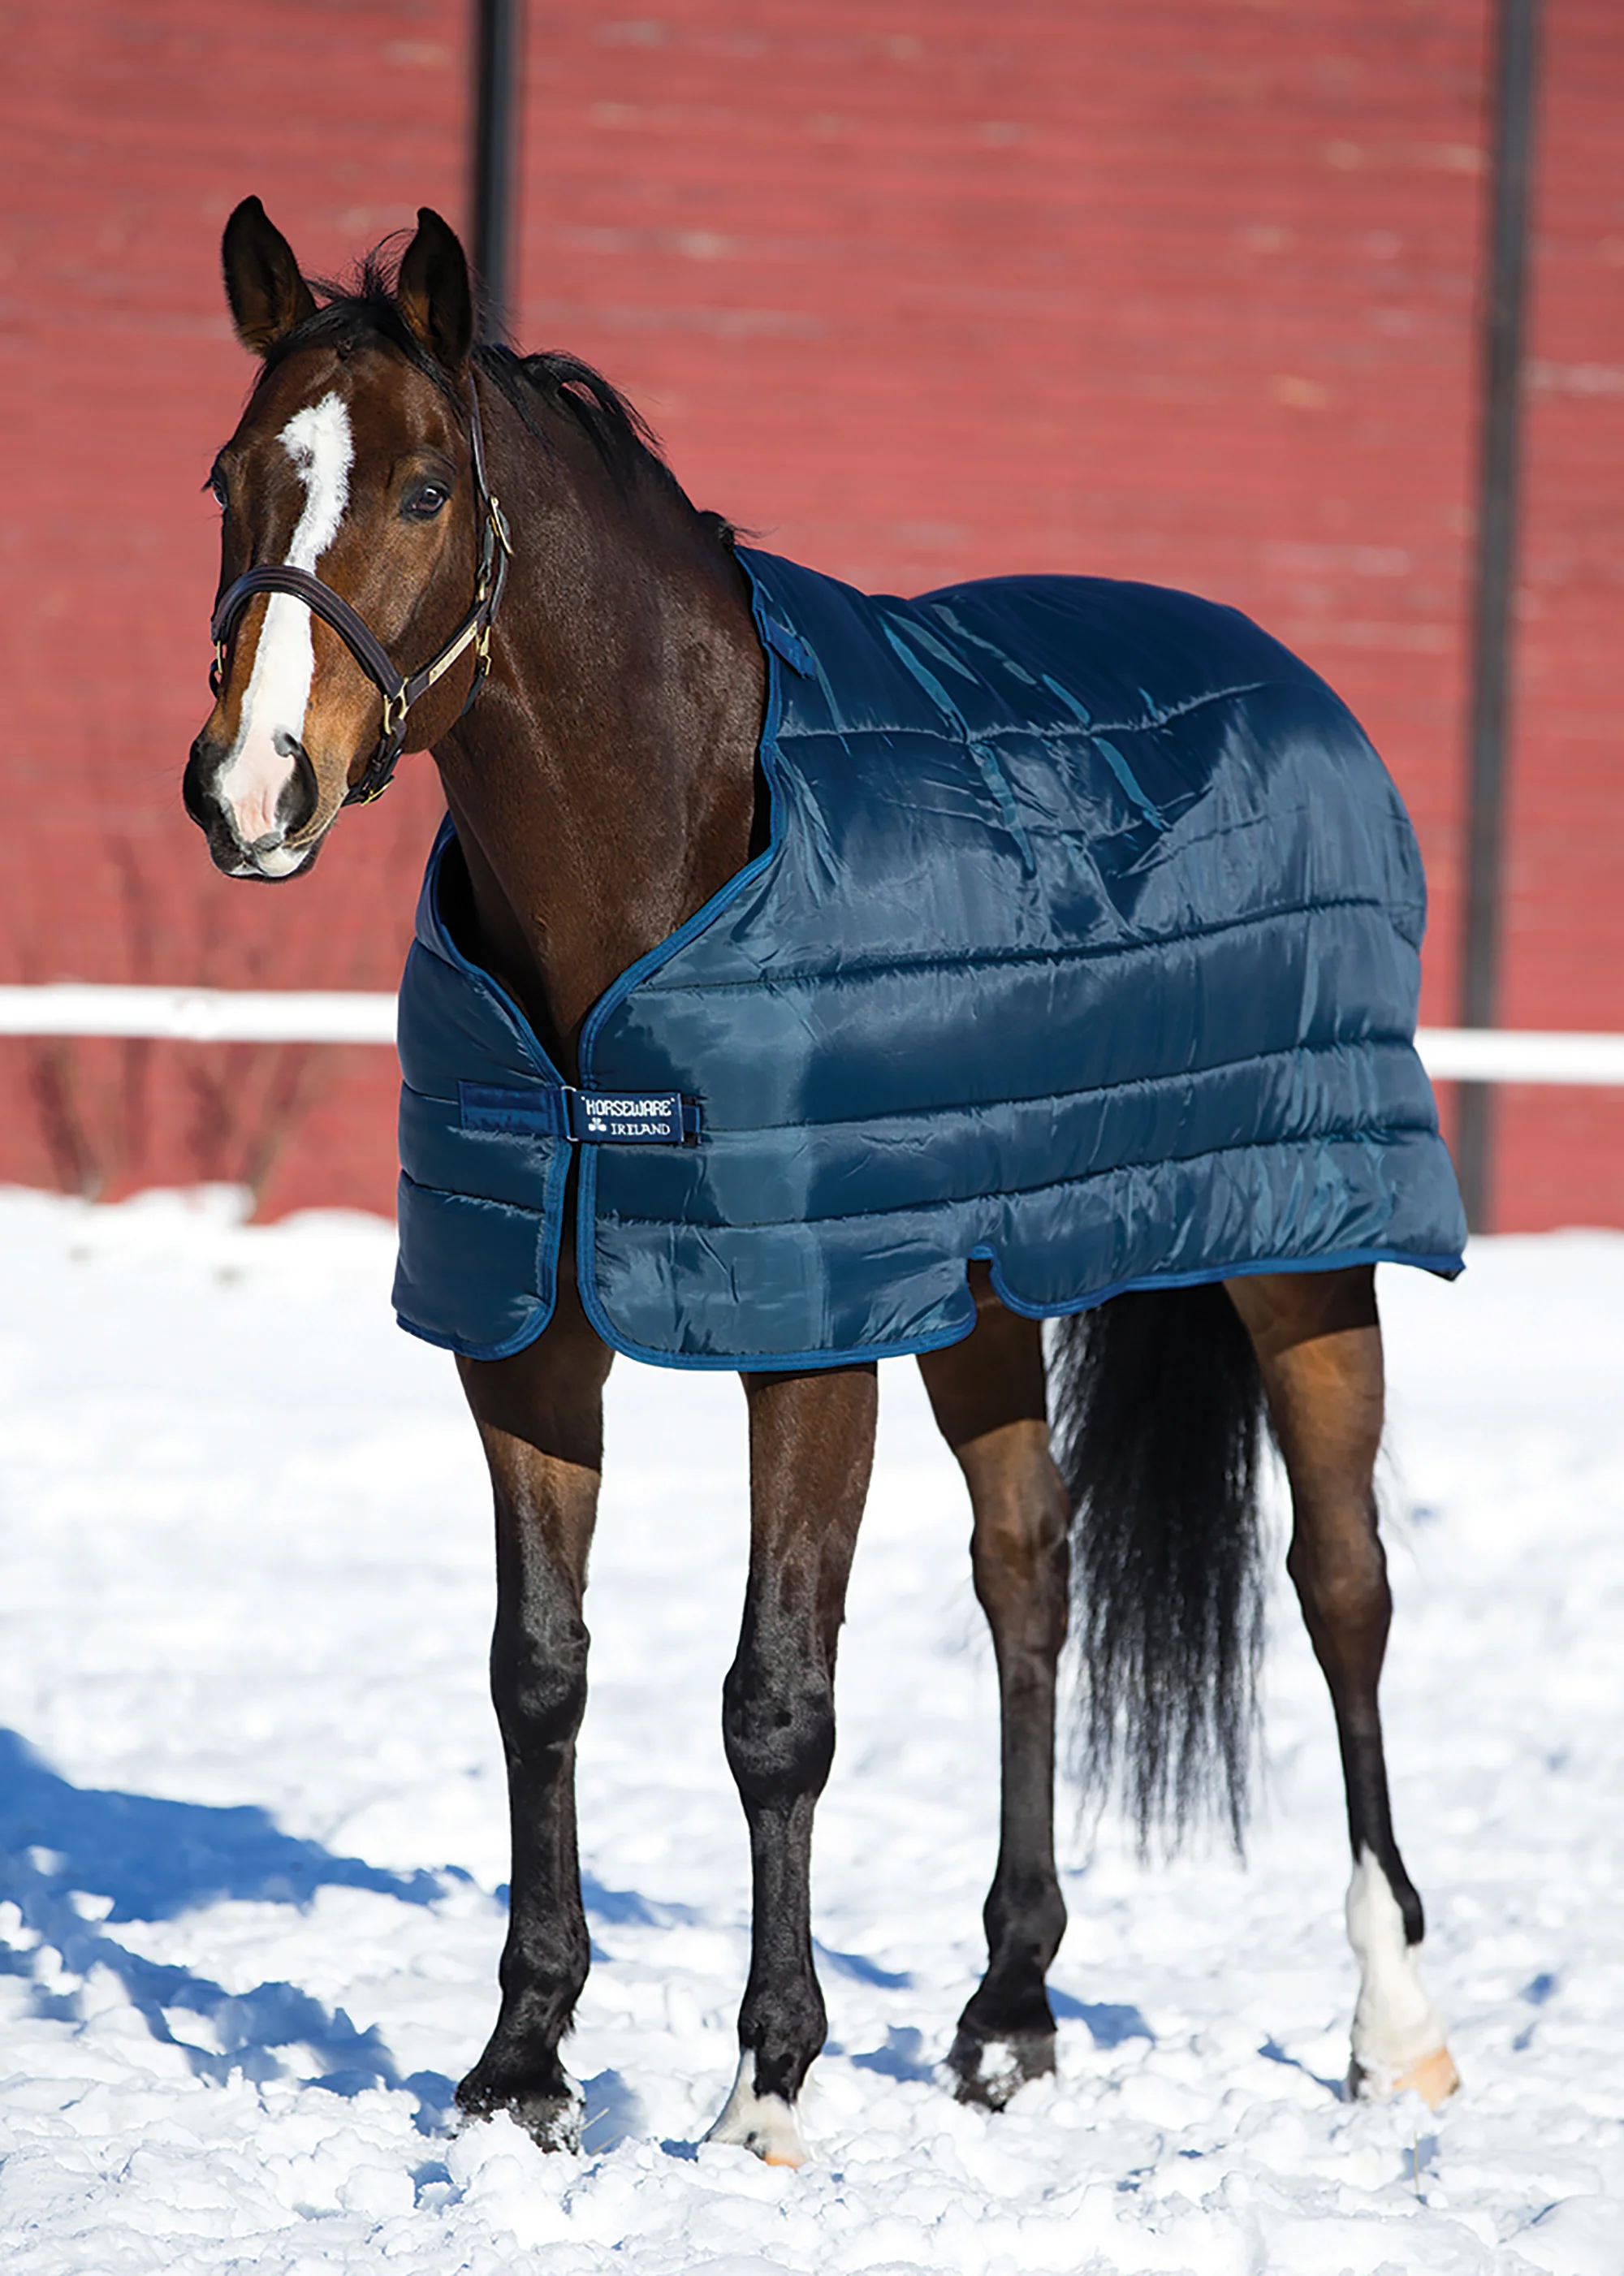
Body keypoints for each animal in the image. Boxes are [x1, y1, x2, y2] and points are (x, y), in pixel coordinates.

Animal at [183, 197, 1463, 2165]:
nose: (250, 792)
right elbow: (536, 1673)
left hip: (1306, 1247)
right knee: (1032, 1577)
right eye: (232, 477)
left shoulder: (807, 1340)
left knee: (1342, 1586)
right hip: (983, 1283)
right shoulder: (531, 1336)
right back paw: (1009, 2010)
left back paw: (1391, 2025)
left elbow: (775, 1700)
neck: (673, 839)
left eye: (418, 492)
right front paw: (519, 2068)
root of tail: (1289, 674)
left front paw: (764, 2089)